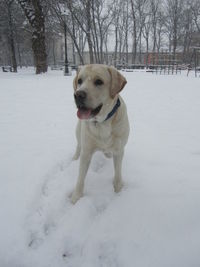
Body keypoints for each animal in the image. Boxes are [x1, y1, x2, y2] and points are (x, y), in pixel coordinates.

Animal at [72, 65, 130, 205]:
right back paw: (74, 158)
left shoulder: (119, 150)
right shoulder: (86, 152)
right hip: (78, 131)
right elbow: (80, 178)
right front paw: (76, 197)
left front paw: (118, 190)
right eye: (80, 81)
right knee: (78, 146)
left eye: (99, 81)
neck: (102, 122)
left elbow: (118, 173)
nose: (78, 95)